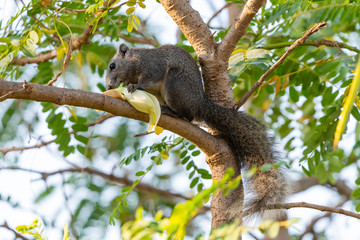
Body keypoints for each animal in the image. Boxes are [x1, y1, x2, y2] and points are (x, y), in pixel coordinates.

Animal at [104, 43, 286, 219]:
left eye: (112, 66)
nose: (109, 86)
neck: (136, 60)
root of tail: (200, 104)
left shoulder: (153, 66)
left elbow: (149, 79)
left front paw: (134, 86)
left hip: (175, 84)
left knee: (187, 115)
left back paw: (172, 112)